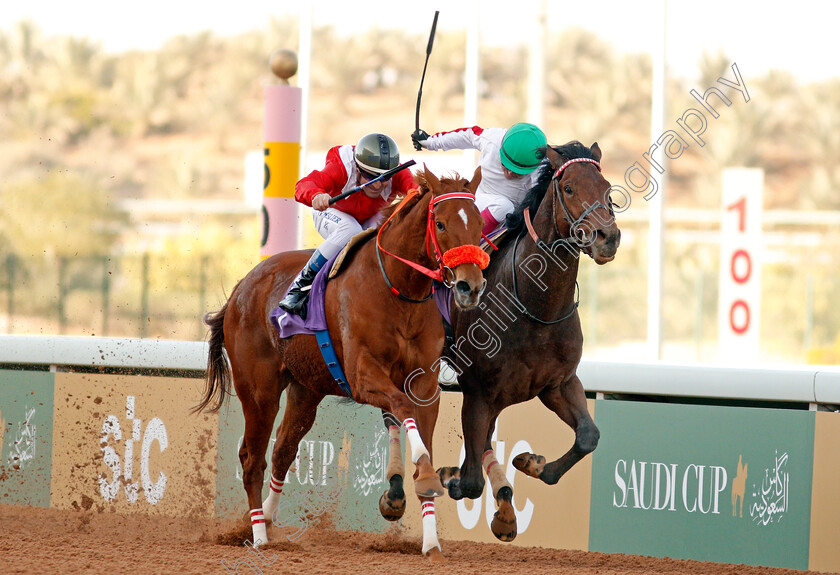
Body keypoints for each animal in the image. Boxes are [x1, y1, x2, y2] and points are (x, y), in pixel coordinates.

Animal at [195, 166, 486, 560]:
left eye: (478, 224)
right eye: (440, 224)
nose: (471, 286)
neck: (398, 290)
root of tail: (242, 287)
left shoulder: (425, 383)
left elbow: (416, 426)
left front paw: (430, 539)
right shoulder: (363, 376)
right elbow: (401, 405)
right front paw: (421, 480)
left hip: (305, 389)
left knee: (283, 449)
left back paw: (267, 518)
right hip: (258, 391)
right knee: (252, 459)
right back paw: (258, 535)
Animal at [436, 142, 620, 544]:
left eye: (607, 188)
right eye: (568, 188)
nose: (607, 237)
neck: (536, 308)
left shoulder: (558, 383)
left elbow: (589, 435)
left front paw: (532, 464)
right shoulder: (479, 391)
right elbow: (470, 481)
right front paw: (453, 479)